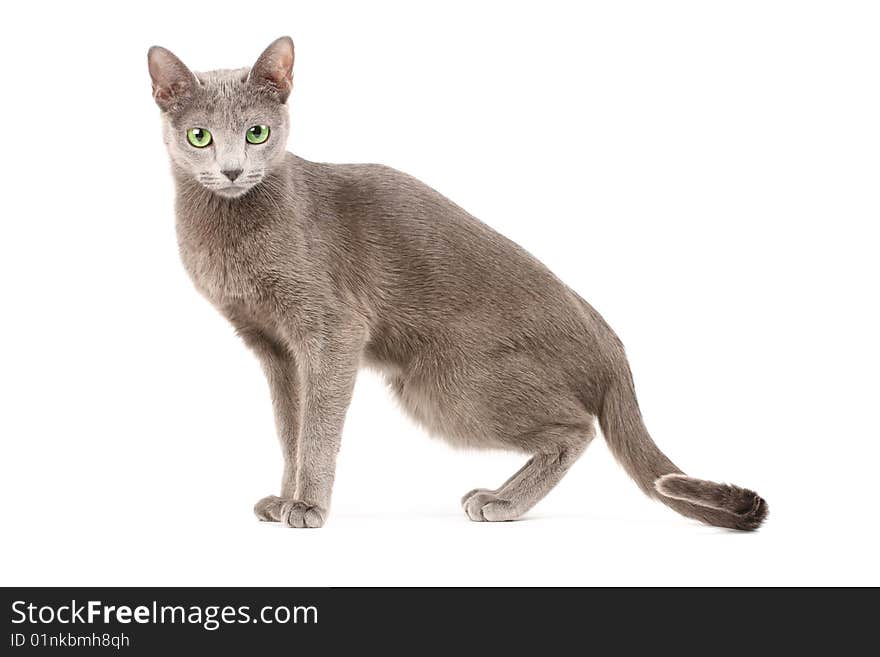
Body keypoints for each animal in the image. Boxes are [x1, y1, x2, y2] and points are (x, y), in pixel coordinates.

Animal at [148, 34, 768, 528]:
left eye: (257, 132)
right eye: (200, 137)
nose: (232, 169)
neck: (230, 233)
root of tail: (612, 344)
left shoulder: (333, 331)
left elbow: (317, 431)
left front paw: (309, 506)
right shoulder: (273, 348)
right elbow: (289, 429)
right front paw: (283, 499)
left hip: (448, 387)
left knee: (576, 429)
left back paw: (504, 502)